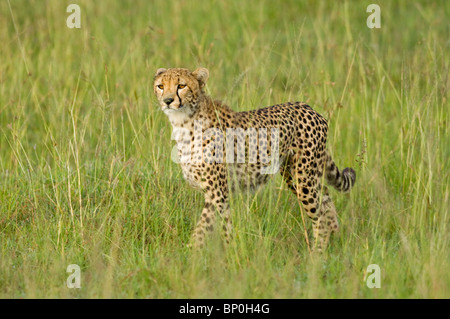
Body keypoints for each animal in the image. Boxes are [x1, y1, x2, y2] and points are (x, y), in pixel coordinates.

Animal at [153, 67, 356, 252]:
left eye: (181, 86)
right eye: (161, 86)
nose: (168, 101)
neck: (183, 121)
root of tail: (308, 107)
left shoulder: (217, 193)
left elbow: (206, 228)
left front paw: (198, 255)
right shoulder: (214, 193)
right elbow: (213, 227)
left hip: (303, 178)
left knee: (320, 216)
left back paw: (317, 256)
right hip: (296, 174)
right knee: (326, 200)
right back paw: (335, 241)